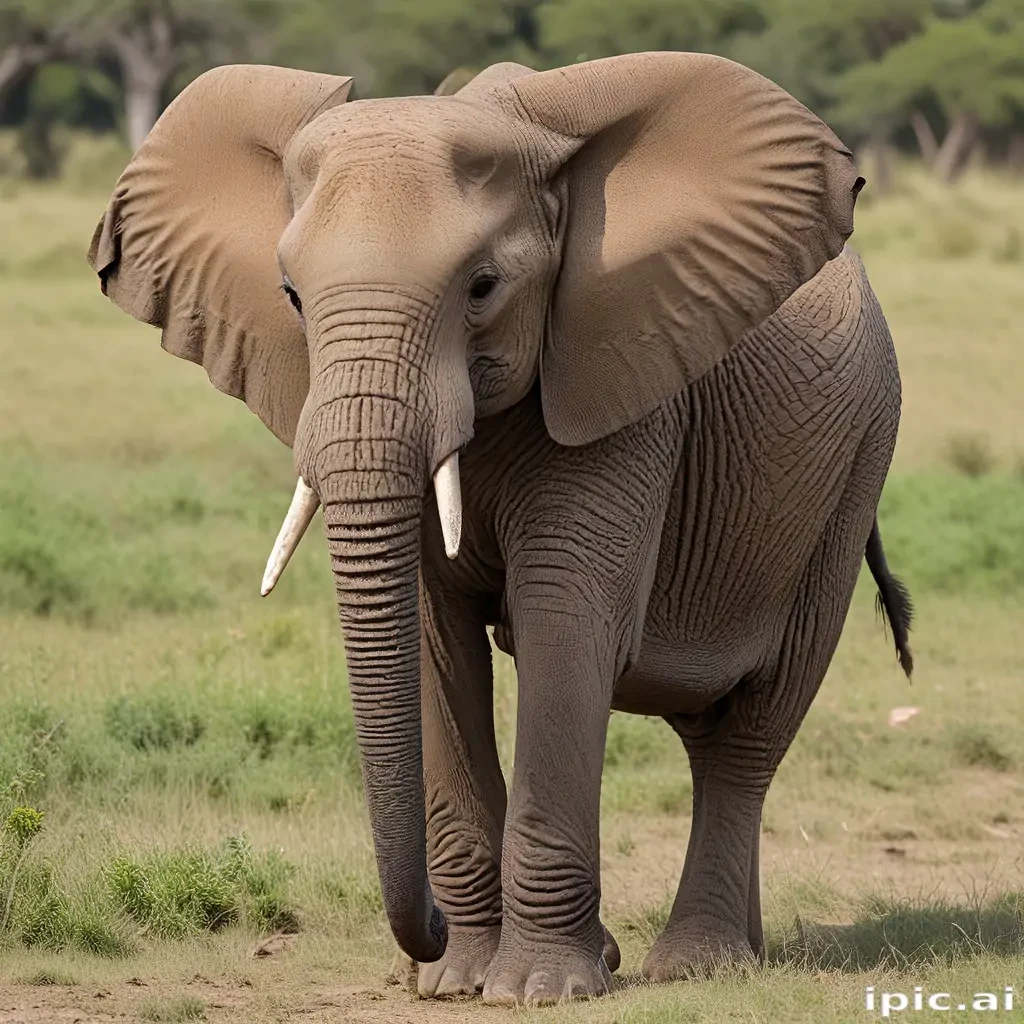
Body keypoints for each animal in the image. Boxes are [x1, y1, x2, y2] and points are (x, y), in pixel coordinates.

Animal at [87, 53, 914, 1005]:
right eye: (291, 297)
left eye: (483, 288)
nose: (428, 933)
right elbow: (431, 637)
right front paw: (455, 980)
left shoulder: (621, 382)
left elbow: (565, 624)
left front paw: (541, 988)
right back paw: (718, 952)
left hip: (856, 466)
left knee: (753, 727)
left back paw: (697, 964)